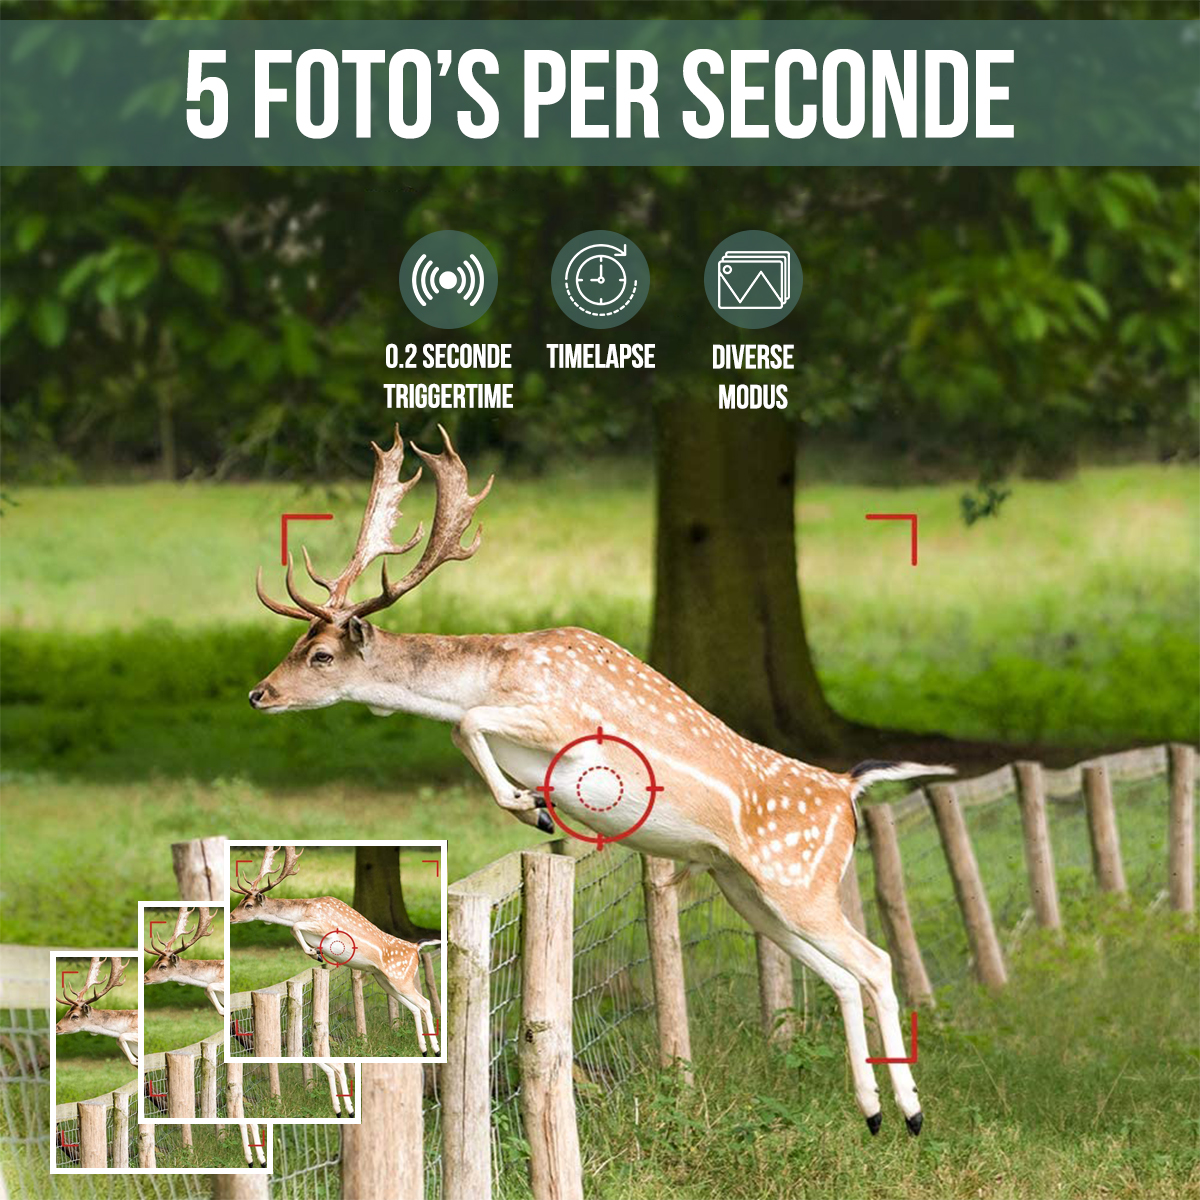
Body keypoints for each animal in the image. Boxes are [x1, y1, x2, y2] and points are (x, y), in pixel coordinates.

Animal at [228, 845, 441, 1056]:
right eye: (240, 902)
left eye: (248, 905)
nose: (231, 916)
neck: (304, 910)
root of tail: (416, 947)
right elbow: (293, 928)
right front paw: (315, 951)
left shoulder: (325, 926)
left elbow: (295, 926)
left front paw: (315, 953)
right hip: (384, 980)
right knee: (415, 1007)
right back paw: (423, 1050)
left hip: (400, 977)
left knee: (425, 1003)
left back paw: (436, 1050)